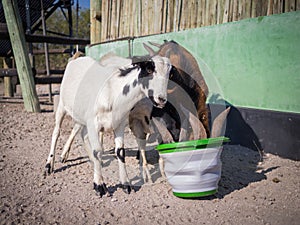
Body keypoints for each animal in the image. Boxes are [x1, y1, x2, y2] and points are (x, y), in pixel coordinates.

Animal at [44, 54, 171, 195]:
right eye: (149, 69)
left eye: (169, 74)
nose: (161, 99)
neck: (112, 92)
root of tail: (77, 58)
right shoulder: (94, 123)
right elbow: (98, 150)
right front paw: (99, 185)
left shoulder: (119, 124)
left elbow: (120, 152)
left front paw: (126, 184)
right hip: (62, 105)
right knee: (56, 132)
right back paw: (49, 165)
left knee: (82, 134)